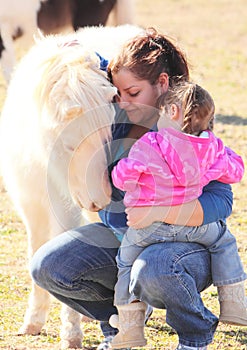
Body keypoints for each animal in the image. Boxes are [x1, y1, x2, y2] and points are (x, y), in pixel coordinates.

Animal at [0, 24, 143, 348]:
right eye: (68, 145)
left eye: (109, 135)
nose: (101, 198)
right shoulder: (30, 203)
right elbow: (34, 252)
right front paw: (33, 321)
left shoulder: (65, 208)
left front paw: (71, 333)